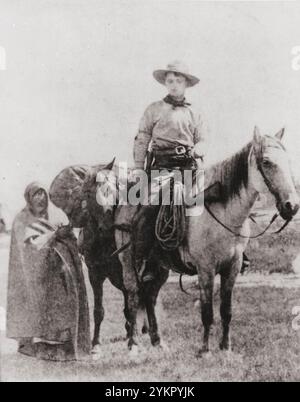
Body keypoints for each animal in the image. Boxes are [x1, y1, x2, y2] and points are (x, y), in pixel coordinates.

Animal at [113, 127, 300, 356]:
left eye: (287, 160)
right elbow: (207, 312)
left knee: (150, 297)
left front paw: (226, 347)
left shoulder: (232, 267)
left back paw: (158, 341)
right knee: (132, 296)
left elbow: (226, 310)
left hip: (160, 267)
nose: (292, 206)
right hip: (128, 263)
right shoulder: (205, 268)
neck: (223, 212)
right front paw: (204, 350)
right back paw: (133, 344)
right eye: (266, 162)